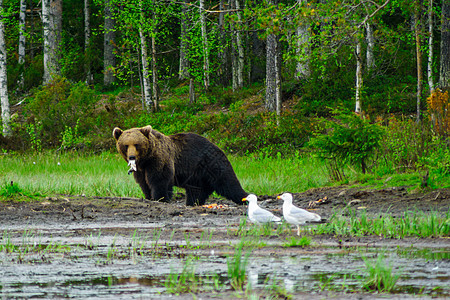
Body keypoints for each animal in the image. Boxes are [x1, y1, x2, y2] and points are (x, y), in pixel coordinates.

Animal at [112, 125, 246, 206]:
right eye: (125, 145)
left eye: (136, 144)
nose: (132, 157)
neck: (146, 159)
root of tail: (218, 147)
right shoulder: (141, 170)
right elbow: (144, 183)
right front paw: (149, 197)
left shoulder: (159, 161)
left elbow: (159, 180)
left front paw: (160, 198)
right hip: (196, 176)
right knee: (196, 191)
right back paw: (193, 203)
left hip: (212, 164)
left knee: (228, 183)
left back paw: (244, 198)